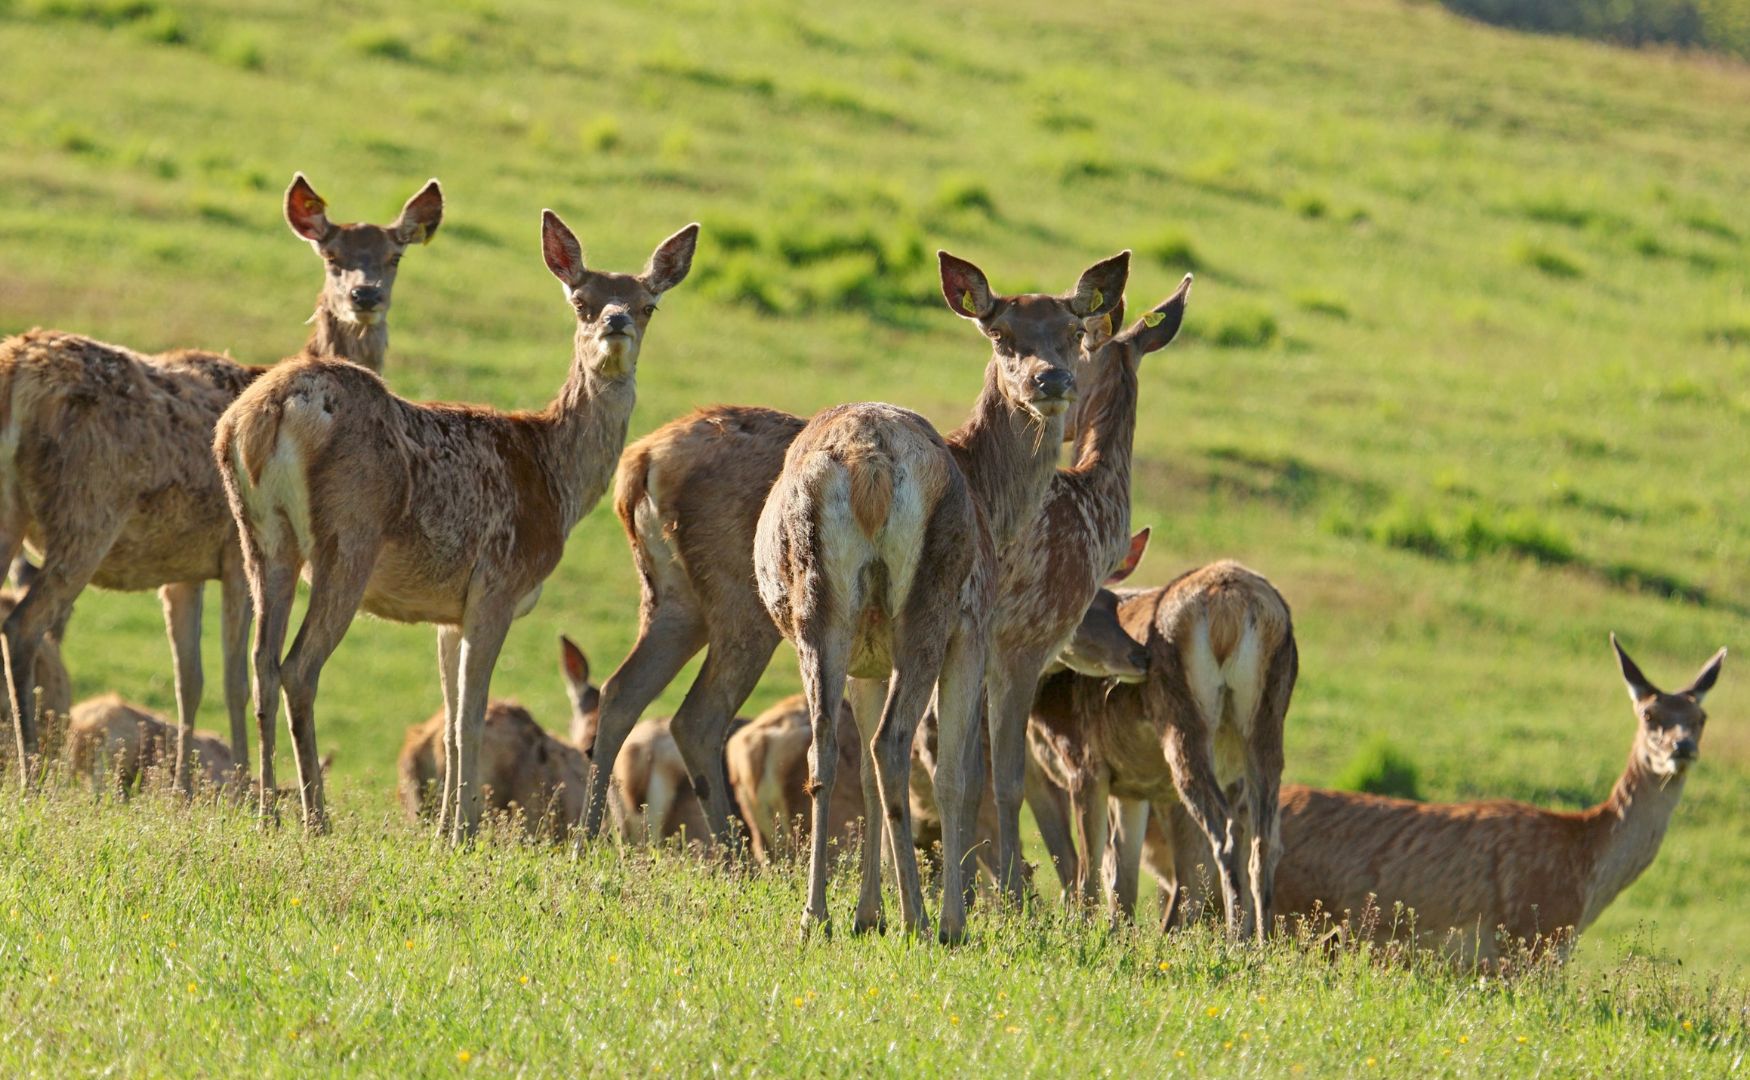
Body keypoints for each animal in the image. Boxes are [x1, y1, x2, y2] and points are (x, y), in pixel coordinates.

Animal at [0, 175, 444, 784]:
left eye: (393, 256)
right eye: (332, 256)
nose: (365, 295)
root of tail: (15, 371)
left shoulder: (181, 570)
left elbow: (189, 681)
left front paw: (183, 788)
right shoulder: (235, 553)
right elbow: (236, 679)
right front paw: (238, 785)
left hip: (14, 512)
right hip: (87, 508)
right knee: (23, 625)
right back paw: (30, 770)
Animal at [222, 210, 700, 833]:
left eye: (648, 304)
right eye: (582, 301)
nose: (615, 323)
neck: (555, 479)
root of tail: (275, 408)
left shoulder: (449, 612)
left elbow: (449, 724)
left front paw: (445, 829)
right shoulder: (497, 585)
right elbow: (470, 719)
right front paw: (465, 833)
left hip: (260, 535)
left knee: (259, 663)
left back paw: (265, 816)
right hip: (348, 536)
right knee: (298, 668)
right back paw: (316, 819)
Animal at [749, 248, 1120, 938]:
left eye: (1072, 330)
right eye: (1001, 334)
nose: (1051, 379)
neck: (995, 503)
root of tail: (867, 465)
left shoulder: (868, 660)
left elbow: (868, 783)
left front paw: (867, 913)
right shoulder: (974, 629)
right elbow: (957, 776)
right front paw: (945, 915)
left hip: (819, 606)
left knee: (829, 748)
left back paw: (816, 915)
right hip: (931, 602)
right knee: (892, 743)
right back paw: (928, 921)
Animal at [1022, 560, 1302, 938]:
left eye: (1107, 605)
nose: (1140, 656)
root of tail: (1232, 604)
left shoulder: (1086, 764)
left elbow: (1091, 867)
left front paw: (1082, 931)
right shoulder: (1131, 787)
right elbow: (1121, 874)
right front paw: (1117, 936)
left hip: (1183, 726)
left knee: (1222, 839)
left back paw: (1233, 942)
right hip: (1267, 722)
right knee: (1265, 843)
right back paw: (1260, 942)